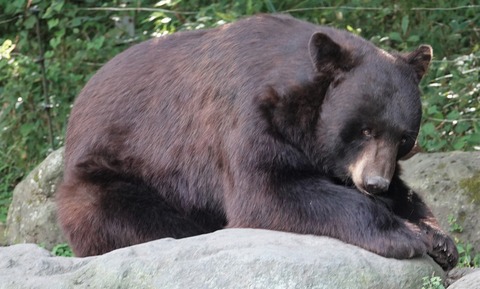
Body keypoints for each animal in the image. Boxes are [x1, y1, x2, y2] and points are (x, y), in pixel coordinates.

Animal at [55, 13, 458, 268]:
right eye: (364, 129)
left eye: (403, 137)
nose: (375, 183)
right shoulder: (248, 117)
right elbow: (266, 191)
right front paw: (405, 236)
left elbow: (405, 192)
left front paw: (439, 238)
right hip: (112, 174)